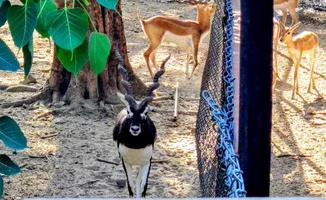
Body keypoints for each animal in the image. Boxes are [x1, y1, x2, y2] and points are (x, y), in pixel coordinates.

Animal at [113, 50, 171, 198]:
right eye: (129, 112)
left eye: (146, 113)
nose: (135, 129)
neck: (136, 145)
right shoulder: (125, 161)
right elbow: (131, 187)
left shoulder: (147, 162)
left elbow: (142, 187)